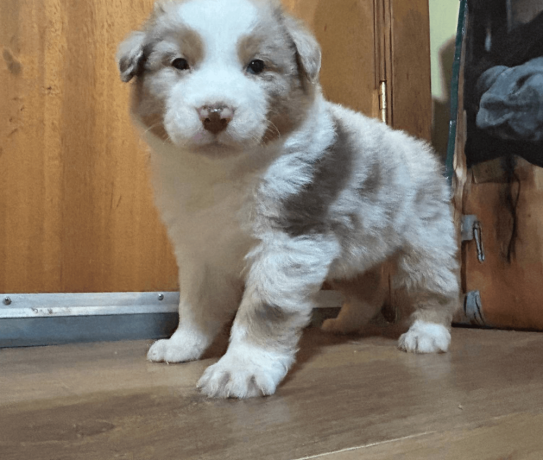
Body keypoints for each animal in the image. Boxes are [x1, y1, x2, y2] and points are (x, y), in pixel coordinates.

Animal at [118, 0, 460, 398]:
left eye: (257, 65)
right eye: (179, 63)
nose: (215, 113)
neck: (226, 172)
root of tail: (420, 147)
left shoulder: (290, 242)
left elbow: (264, 309)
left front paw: (241, 371)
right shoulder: (201, 248)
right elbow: (195, 303)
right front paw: (182, 344)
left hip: (425, 238)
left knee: (434, 285)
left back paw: (427, 334)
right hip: (349, 251)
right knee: (369, 287)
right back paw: (345, 323)